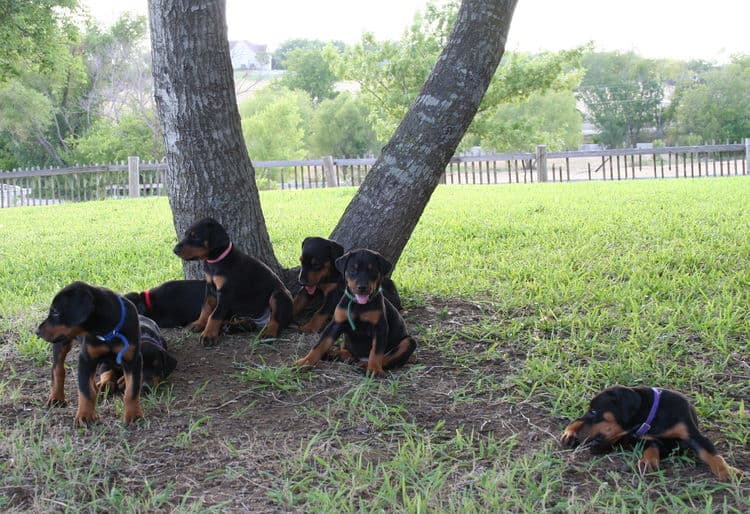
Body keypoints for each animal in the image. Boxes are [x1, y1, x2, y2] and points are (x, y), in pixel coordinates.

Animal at [35, 280, 145, 424]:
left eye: (56, 312)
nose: (37, 331)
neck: (107, 331)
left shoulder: (132, 359)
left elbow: (132, 390)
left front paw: (134, 415)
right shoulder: (86, 358)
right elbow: (85, 391)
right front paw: (85, 416)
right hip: (61, 343)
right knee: (58, 369)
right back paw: (56, 397)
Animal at [173, 216, 294, 344]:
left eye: (195, 236)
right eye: (186, 234)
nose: (175, 250)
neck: (216, 261)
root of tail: (262, 319)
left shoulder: (225, 292)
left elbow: (215, 314)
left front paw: (208, 334)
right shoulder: (210, 288)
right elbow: (206, 307)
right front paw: (199, 323)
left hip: (278, 294)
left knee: (277, 320)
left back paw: (269, 333)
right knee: (250, 324)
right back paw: (229, 326)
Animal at [296, 248, 418, 376]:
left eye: (372, 270)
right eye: (353, 269)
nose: (362, 287)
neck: (359, 305)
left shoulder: (380, 328)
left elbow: (376, 352)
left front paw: (374, 369)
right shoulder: (336, 324)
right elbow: (320, 345)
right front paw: (305, 362)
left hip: (408, 343)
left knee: (387, 358)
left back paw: (364, 364)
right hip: (346, 343)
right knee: (347, 352)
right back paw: (333, 354)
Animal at [560, 384, 744, 480]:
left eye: (594, 411)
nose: (579, 436)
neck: (653, 417)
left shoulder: (694, 436)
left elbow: (713, 455)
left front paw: (727, 472)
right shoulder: (648, 438)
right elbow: (652, 447)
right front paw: (648, 461)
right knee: (578, 420)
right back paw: (570, 434)